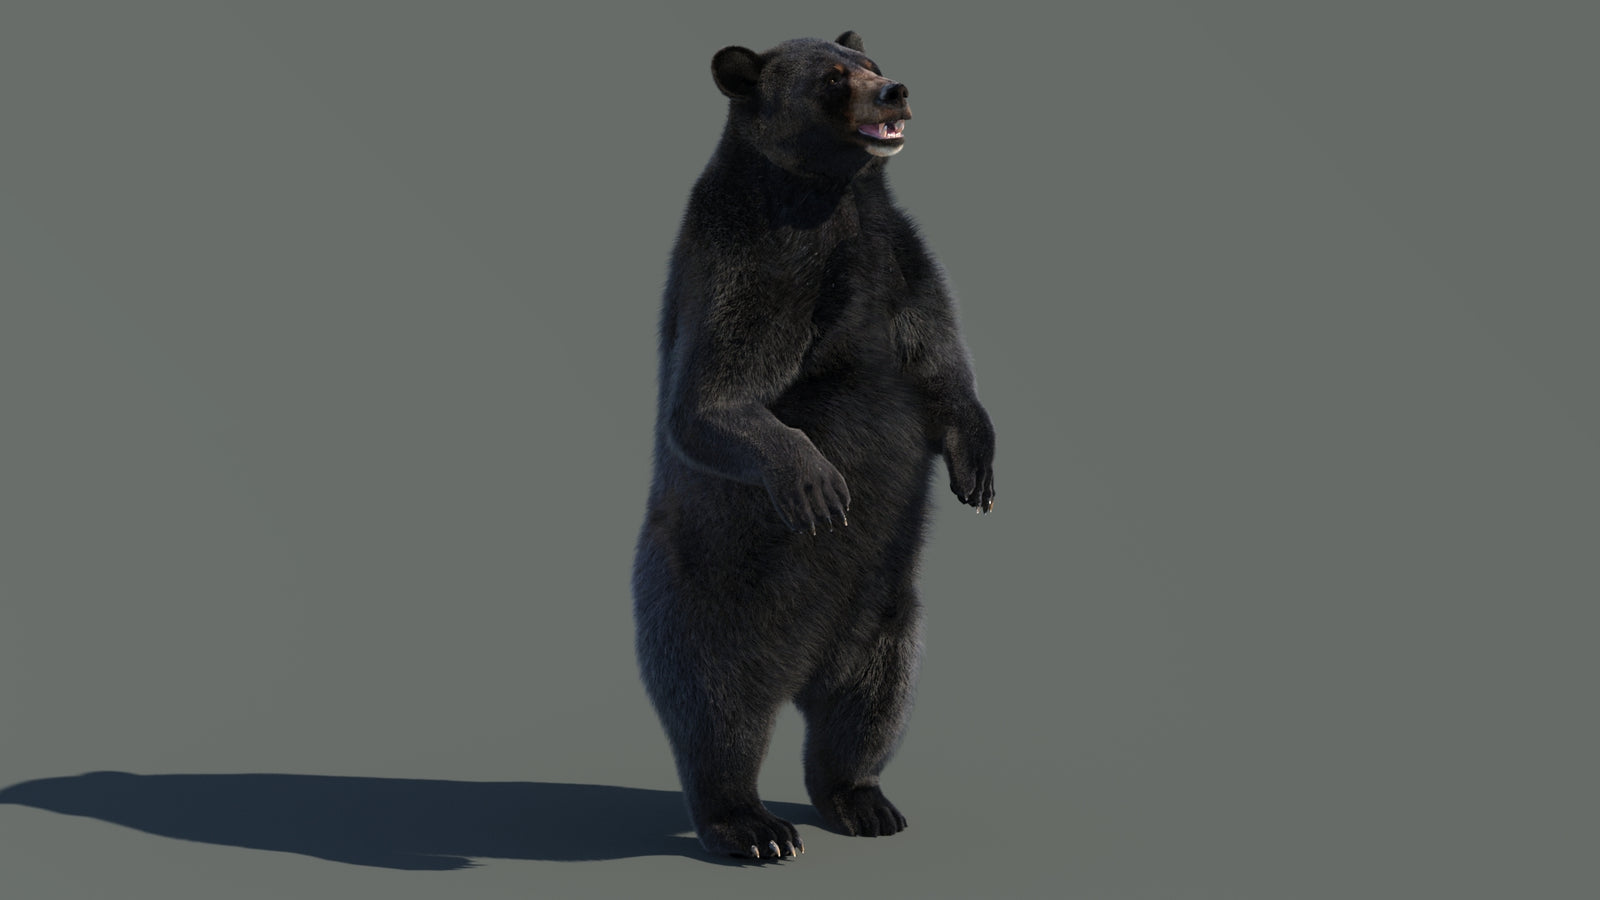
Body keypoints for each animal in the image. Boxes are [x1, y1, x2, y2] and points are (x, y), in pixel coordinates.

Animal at [632, 31, 996, 861]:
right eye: (833, 78)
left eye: (870, 61)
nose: (895, 89)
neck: (830, 199)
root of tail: (799, 667)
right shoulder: (754, 260)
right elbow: (713, 399)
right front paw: (819, 484)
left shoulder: (897, 257)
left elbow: (941, 365)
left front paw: (978, 471)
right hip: (707, 597)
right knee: (717, 708)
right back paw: (752, 826)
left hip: (886, 614)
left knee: (870, 700)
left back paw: (863, 800)